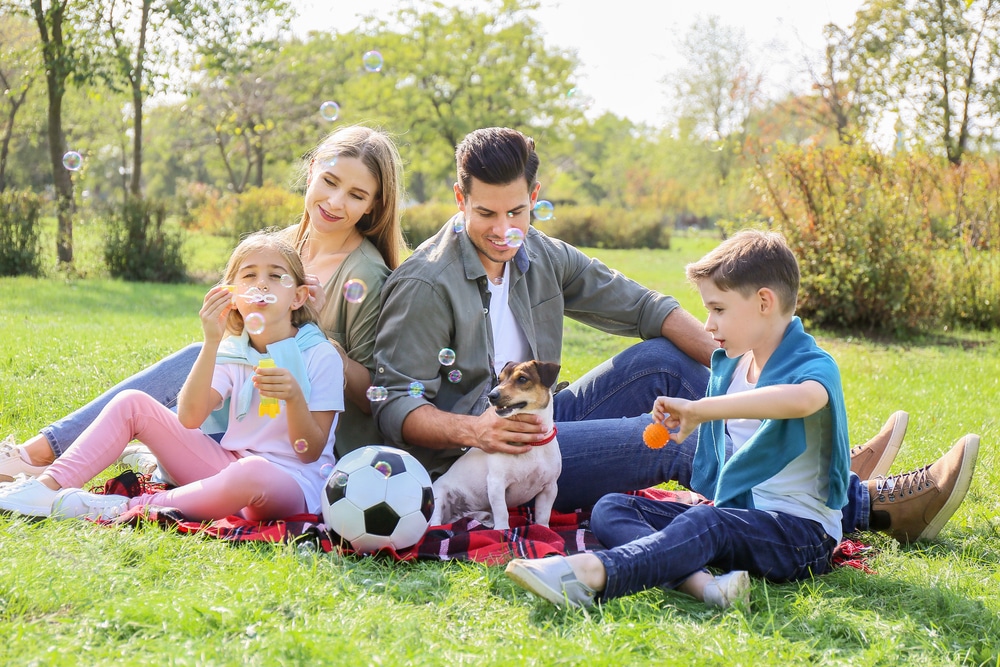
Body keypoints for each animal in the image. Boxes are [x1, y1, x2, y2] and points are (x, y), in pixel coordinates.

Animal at [430, 360, 564, 532]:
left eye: (522, 379)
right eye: (499, 380)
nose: (491, 396)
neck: (532, 444)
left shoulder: (549, 488)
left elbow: (543, 515)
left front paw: (543, 529)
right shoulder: (496, 484)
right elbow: (502, 511)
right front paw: (502, 530)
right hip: (438, 497)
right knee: (434, 521)